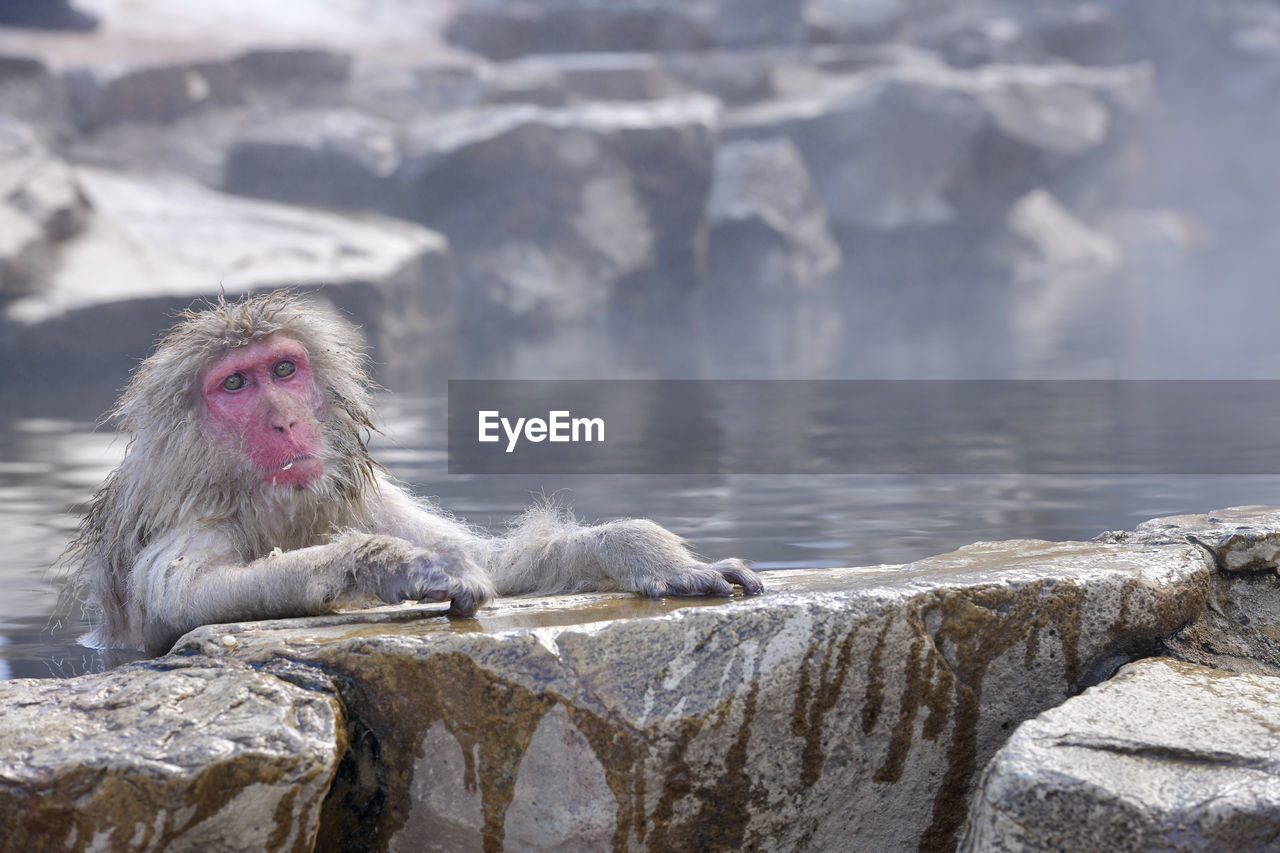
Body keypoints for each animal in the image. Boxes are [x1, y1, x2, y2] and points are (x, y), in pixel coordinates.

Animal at [67, 289, 757, 653]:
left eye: (284, 371)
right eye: (235, 384)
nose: (286, 420)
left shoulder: (362, 498)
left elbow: (496, 564)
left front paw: (645, 551)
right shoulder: (189, 520)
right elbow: (183, 603)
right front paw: (385, 564)